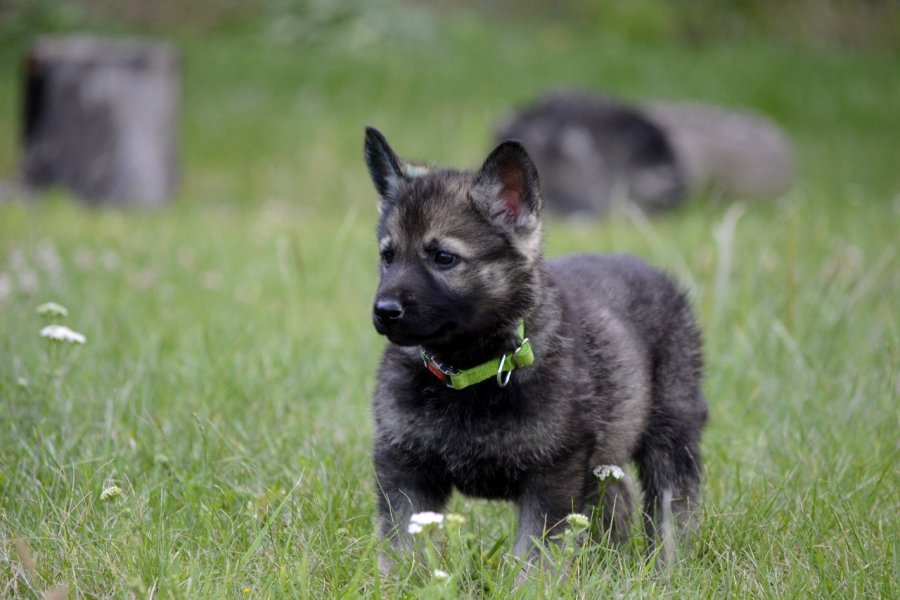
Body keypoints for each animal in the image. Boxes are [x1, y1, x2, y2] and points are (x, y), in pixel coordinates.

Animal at [362, 126, 708, 572]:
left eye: (443, 258)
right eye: (388, 256)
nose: (385, 311)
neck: (468, 371)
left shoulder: (552, 478)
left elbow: (533, 559)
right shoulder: (405, 470)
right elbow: (402, 549)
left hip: (672, 430)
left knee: (673, 503)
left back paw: (666, 565)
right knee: (618, 498)